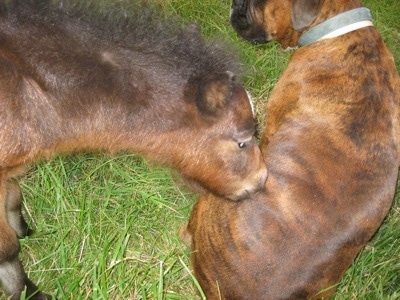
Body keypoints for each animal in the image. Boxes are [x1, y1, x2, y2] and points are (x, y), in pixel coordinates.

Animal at [0, 1, 268, 298]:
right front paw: (27, 291)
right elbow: (6, 248)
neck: (36, 92)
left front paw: (22, 229)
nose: (261, 180)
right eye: (241, 141)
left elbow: (14, 196)